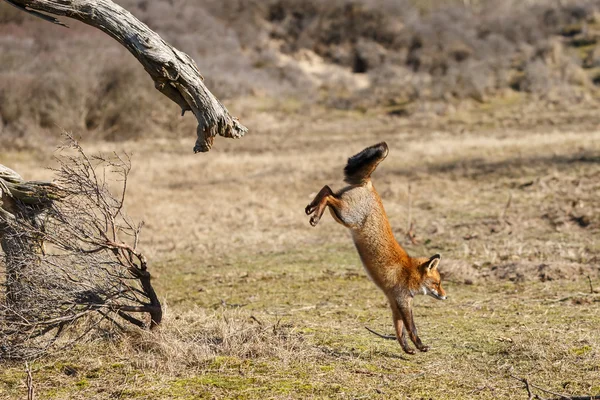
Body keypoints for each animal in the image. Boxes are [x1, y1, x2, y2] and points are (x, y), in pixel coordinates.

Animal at [304, 142, 446, 354]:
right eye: (437, 283)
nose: (446, 296)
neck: (409, 273)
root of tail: (369, 183)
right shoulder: (403, 301)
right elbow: (412, 328)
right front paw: (420, 346)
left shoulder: (394, 304)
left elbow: (400, 331)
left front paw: (407, 349)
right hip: (346, 215)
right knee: (329, 195)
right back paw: (315, 214)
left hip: (341, 215)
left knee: (327, 188)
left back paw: (312, 207)